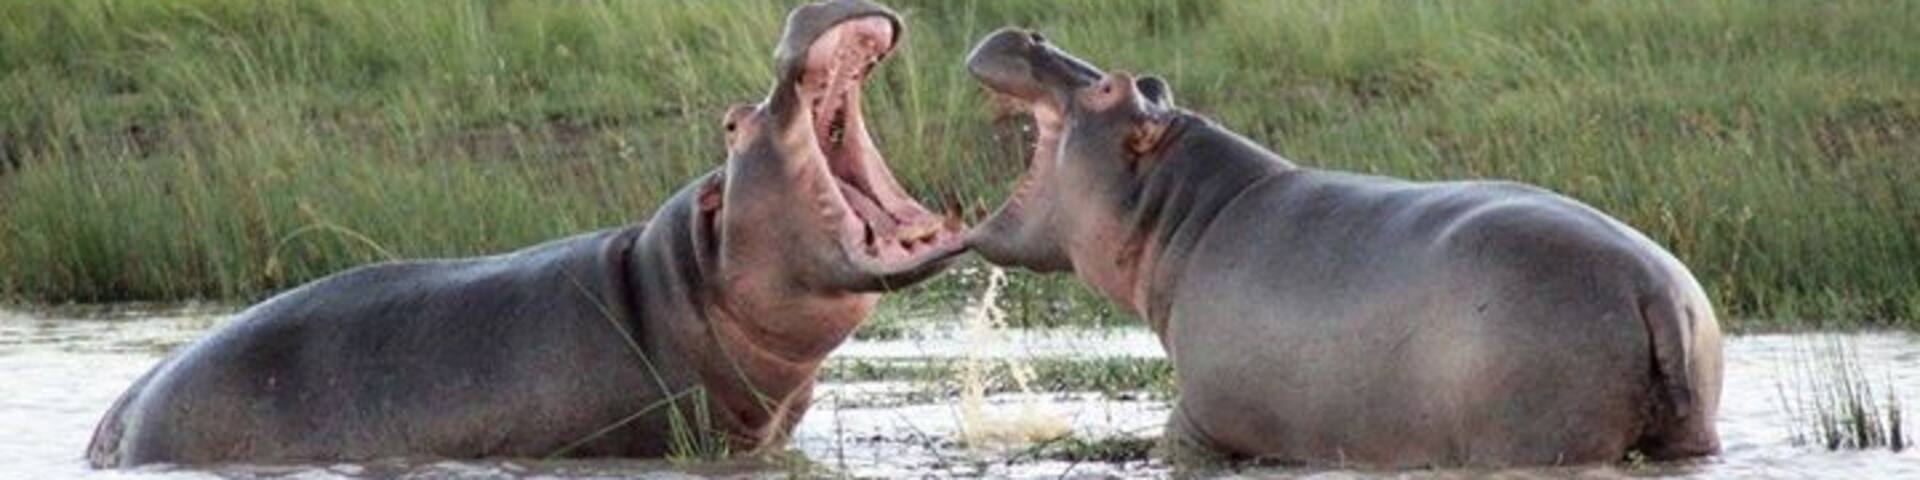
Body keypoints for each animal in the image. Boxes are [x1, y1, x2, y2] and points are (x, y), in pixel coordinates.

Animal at [960, 28, 1722, 468]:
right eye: (1149, 82)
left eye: (1113, 87)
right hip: (1687, 428)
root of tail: (1655, 291)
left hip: (1539, 438)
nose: (1029, 32)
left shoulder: (1200, 419)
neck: (1183, 213)